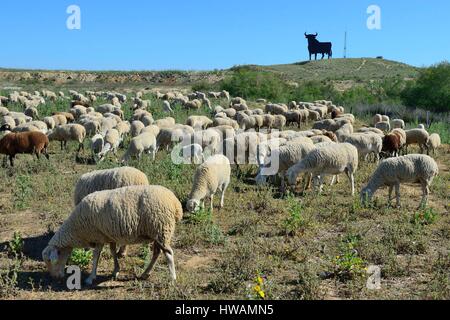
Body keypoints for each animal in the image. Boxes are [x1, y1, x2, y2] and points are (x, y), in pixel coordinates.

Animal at [41, 185, 183, 284]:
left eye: (50, 260)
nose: (54, 278)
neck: (76, 229)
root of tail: (176, 204)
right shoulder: (109, 236)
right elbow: (113, 252)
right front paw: (116, 270)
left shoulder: (98, 236)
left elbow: (95, 256)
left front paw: (91, 278)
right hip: (157, 233)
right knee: (157, 253)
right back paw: (145, 273)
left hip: (161, 229)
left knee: (168, 253)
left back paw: (172, 279)